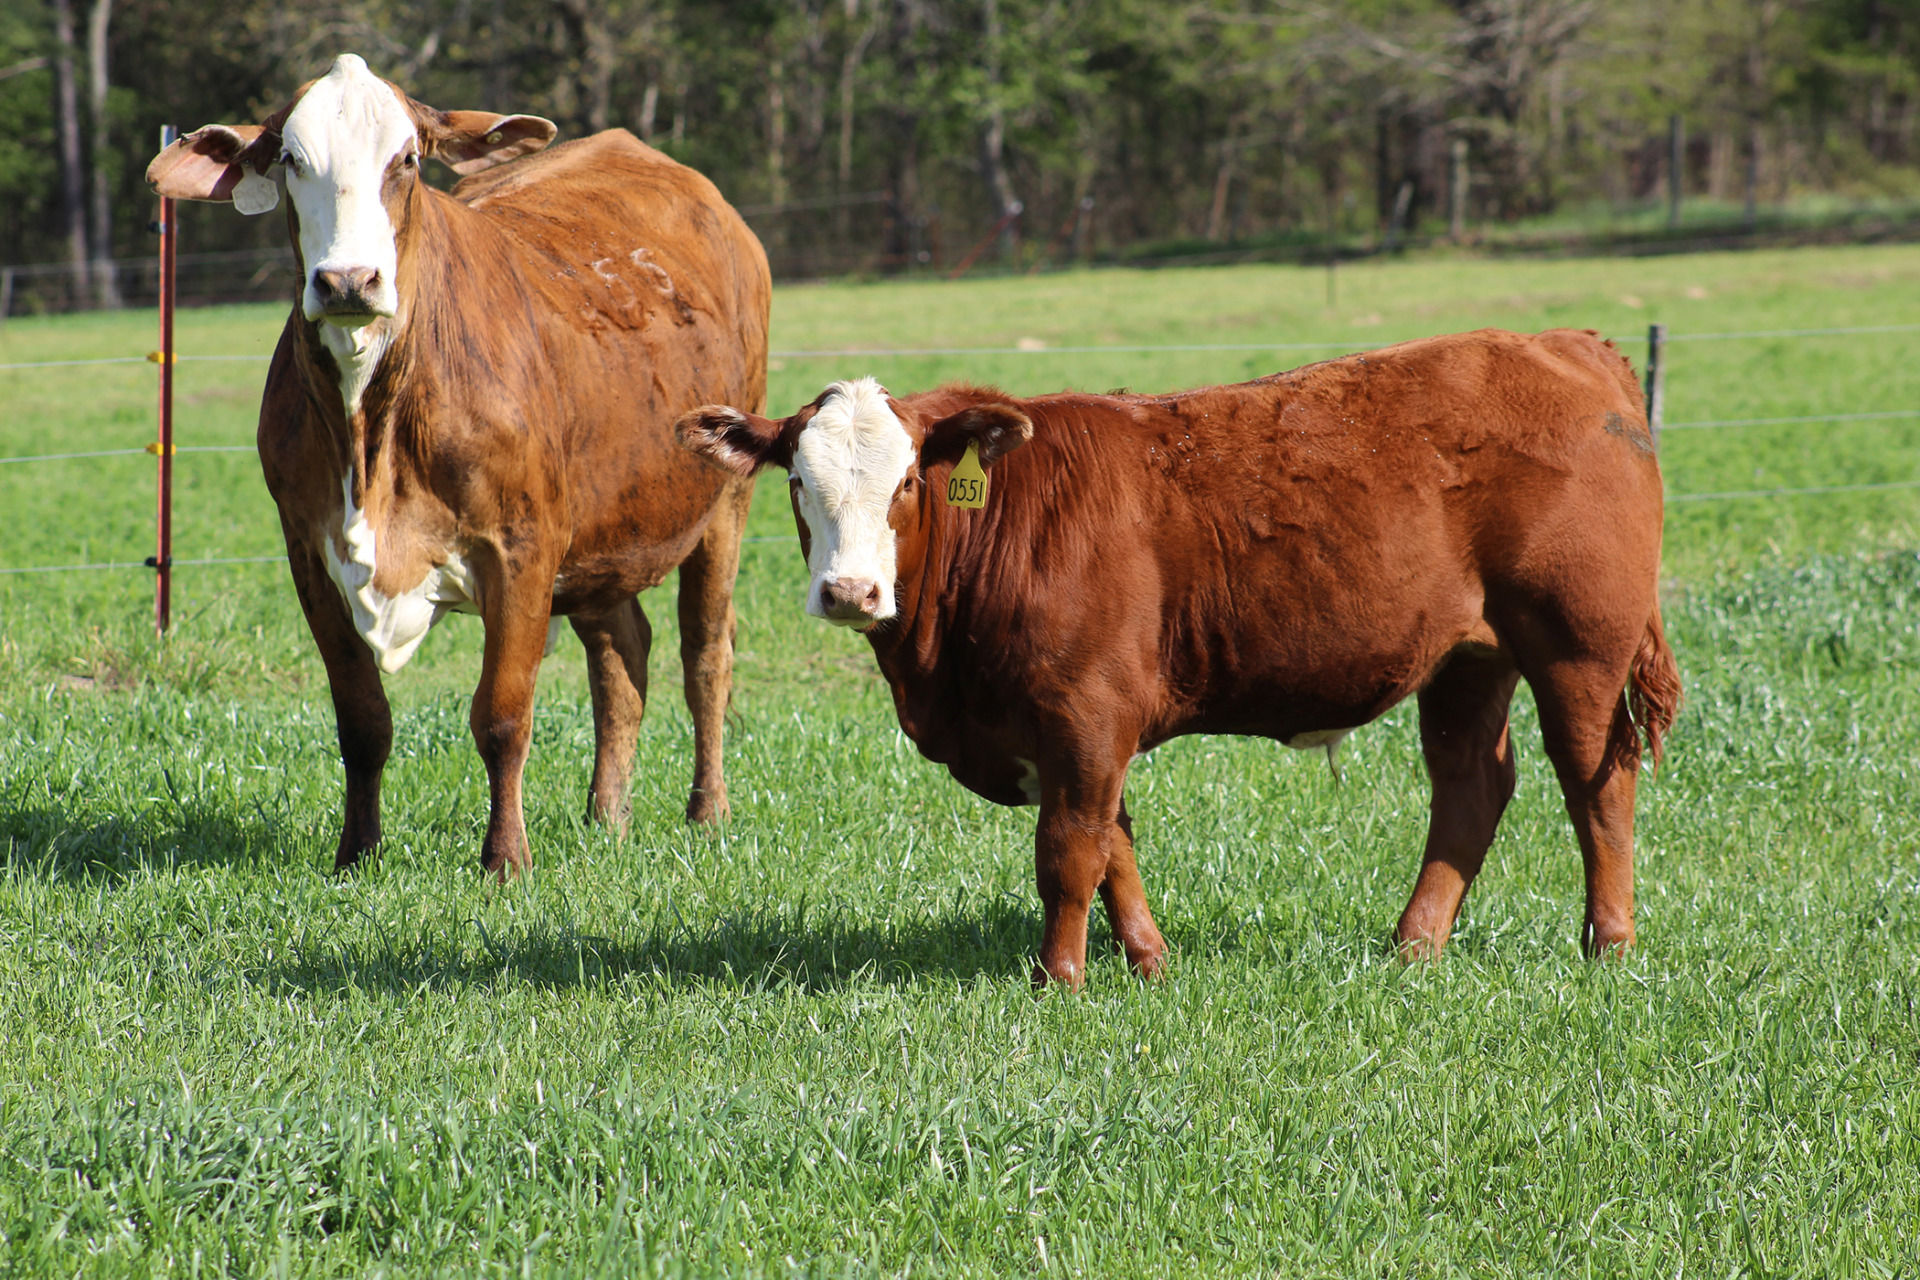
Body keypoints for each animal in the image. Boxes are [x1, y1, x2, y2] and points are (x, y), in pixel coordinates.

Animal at [149, 59, 768, 882]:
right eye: (290, 158)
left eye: (407, 160)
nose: (348, 281)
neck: (372, 425)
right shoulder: (308, 552)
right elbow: (362, 719)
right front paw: (358, 854)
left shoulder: (523, 549)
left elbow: (503, 715)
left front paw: (505, 860)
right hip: (606, 530)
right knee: (622, 655)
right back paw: (607, 816)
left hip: (727, 495)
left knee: (705, 652)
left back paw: (707, 810)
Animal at [675, 333, 1681, 990]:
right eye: (799, 483)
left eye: (909, 482)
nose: (850, 593)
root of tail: (1565, 344)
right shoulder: (1071, 731)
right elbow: (1113, 841)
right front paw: (1151, 962)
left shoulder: (1085, 714)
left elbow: (1069, 851)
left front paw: (1061, 978)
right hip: (1468, 660)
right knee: (1472, 785)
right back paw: (1414, 947)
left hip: (1579, 648)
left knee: (1597, 780)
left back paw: (1610, 943)